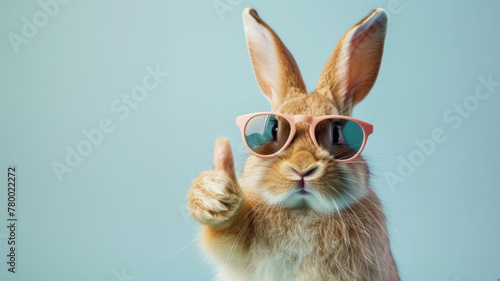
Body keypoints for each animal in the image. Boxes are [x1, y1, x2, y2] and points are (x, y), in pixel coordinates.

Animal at [186, 7, 400, 280]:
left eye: (337, 132)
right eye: (274, 129)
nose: (302, 168)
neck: (304, 211)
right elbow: (225, 234)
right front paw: (216, 195)